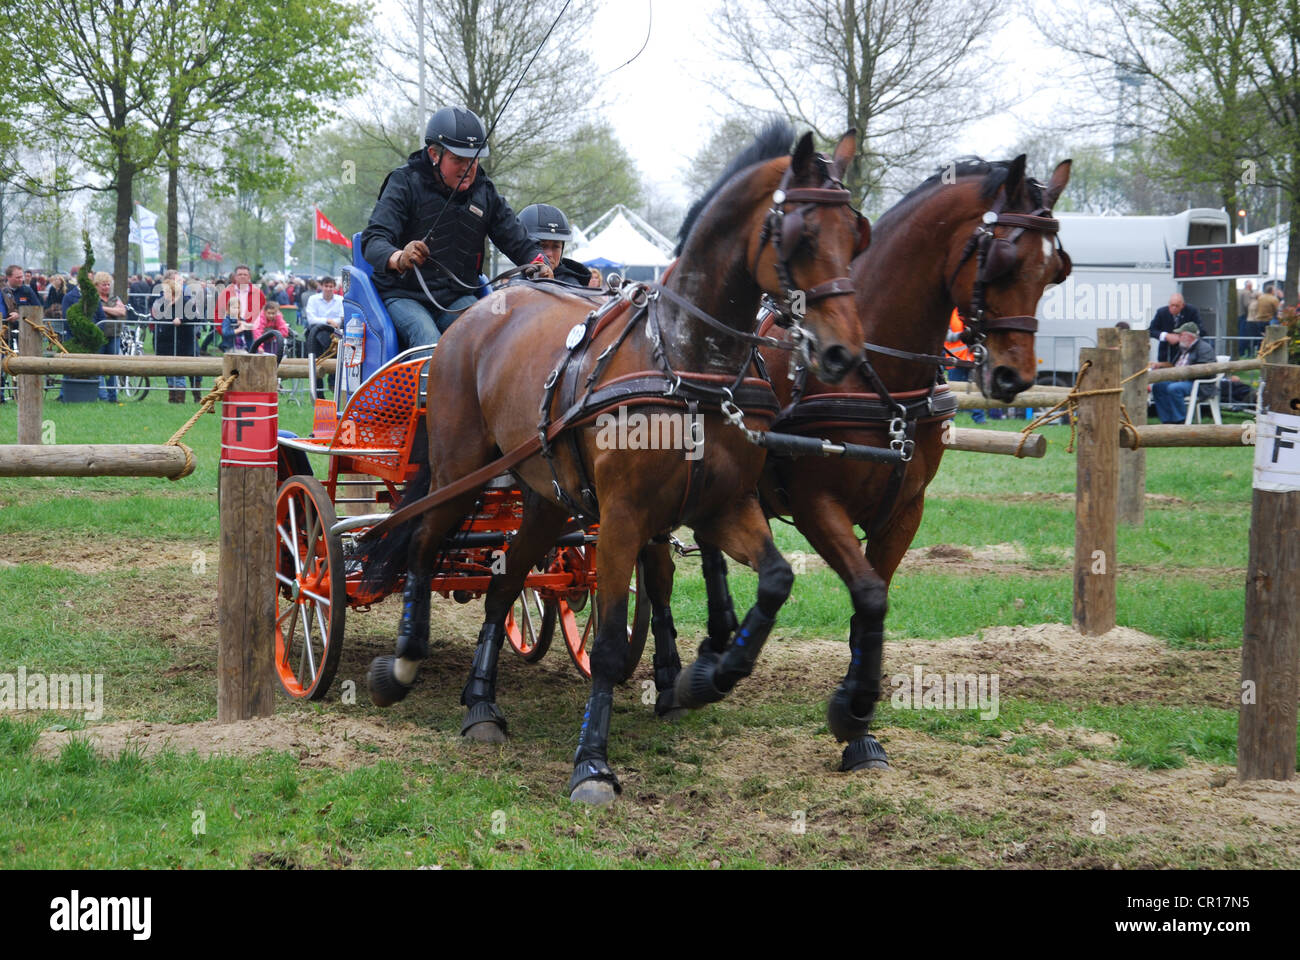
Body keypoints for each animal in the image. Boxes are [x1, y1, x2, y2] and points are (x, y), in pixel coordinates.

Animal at [361, 125, 873, 801]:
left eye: (857, 234)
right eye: (804, 236)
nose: (843, 352)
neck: (684, 362)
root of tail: (467, 321)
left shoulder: (722, 505)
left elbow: (775, 579)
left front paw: (705, 678)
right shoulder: (624, 518)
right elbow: (605, 643)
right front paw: (593, 765)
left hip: (548, 500)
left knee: (503, 584)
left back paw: (481, 706)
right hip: (458, 470)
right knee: (422, 543)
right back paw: (402, 663)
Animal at [665, 155, 1071, 770]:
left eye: (1053, 271)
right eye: (1003, 260)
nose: (1013, 376)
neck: (874, 375)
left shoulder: (904, 509)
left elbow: (871, 603)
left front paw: (859, 733)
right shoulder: (815, 503)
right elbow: (869, 593)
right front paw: (852, 711)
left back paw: (716, 645)